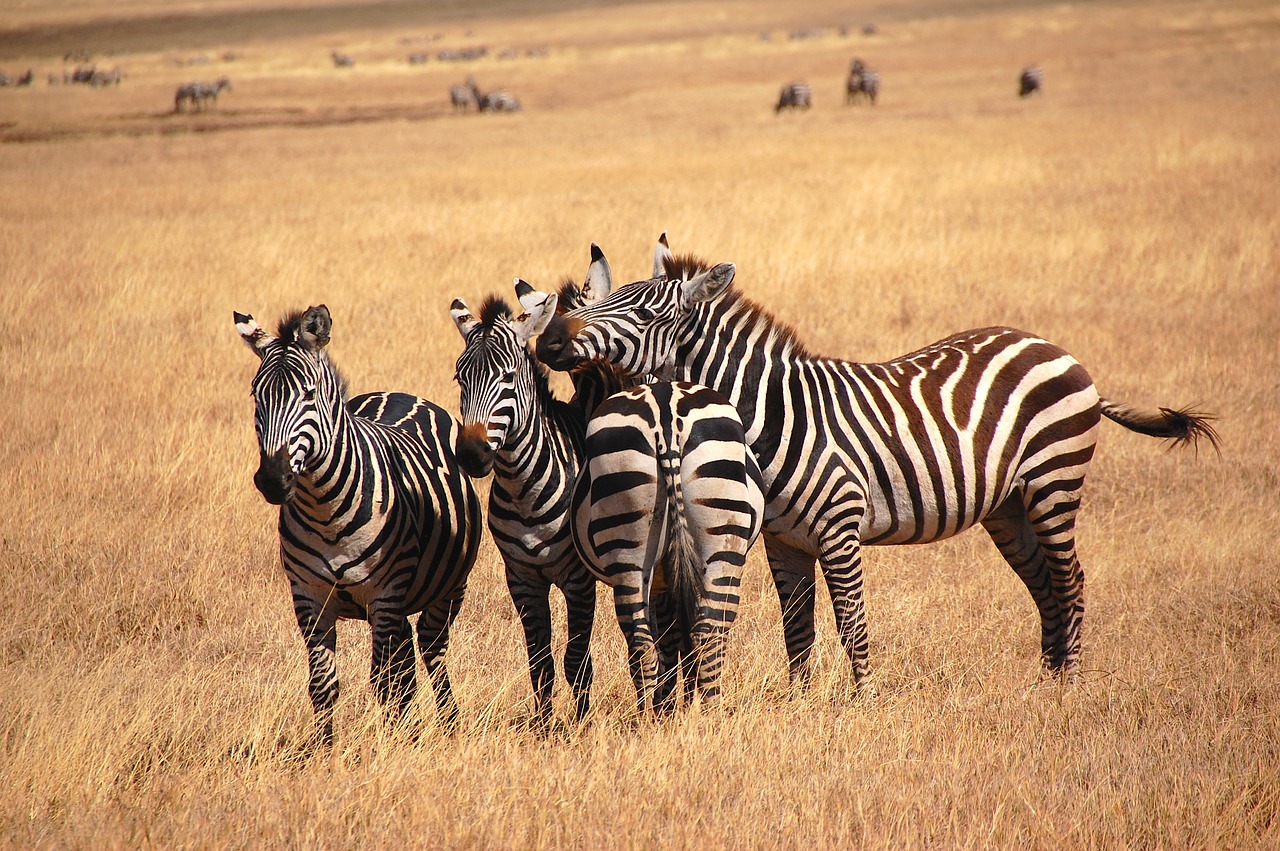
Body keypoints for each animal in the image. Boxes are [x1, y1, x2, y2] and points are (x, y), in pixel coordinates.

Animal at [236, 302, 483, 742]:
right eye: (255, 395)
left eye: (309, 393)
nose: (272, 480)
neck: (325, 509)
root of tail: (398, 393)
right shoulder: (309, 595)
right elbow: (323, 684)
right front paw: (325, 748)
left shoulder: (386, 592)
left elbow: (383, 681)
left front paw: (391, 746)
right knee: (405, 660)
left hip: (447, 586)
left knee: (430, 648)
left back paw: (449, 724)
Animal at [535, 240, 1213, 691]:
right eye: (609, 298)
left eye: (645, 314)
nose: (548, 341)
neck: (770, 413)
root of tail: (1055, 348)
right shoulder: (784, 540)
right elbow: (799, 630)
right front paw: (801, 705)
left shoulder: (839, 528)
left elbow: (851, 624)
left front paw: (863, 704)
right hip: (1008, 505)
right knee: (1044, 583)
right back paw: (1046, 682)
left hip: (1054, 482)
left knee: (1071, 579)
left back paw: (1070, 683)